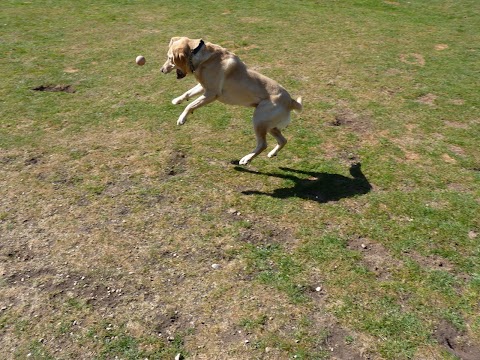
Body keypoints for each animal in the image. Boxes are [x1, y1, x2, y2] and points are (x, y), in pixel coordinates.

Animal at [161, 35, 304, 165]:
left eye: (169, 58)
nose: (161, 70)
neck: (198, 55)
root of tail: (291, 101)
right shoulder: (203, 87)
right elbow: (187, 94)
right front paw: (177, 100)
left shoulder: (211, 93)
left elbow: (190, 105)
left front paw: (182, 118)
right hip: (269, 125)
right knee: (282, 140)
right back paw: (272, 153)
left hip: (259, 119)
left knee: (263, 144)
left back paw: (246, 159)